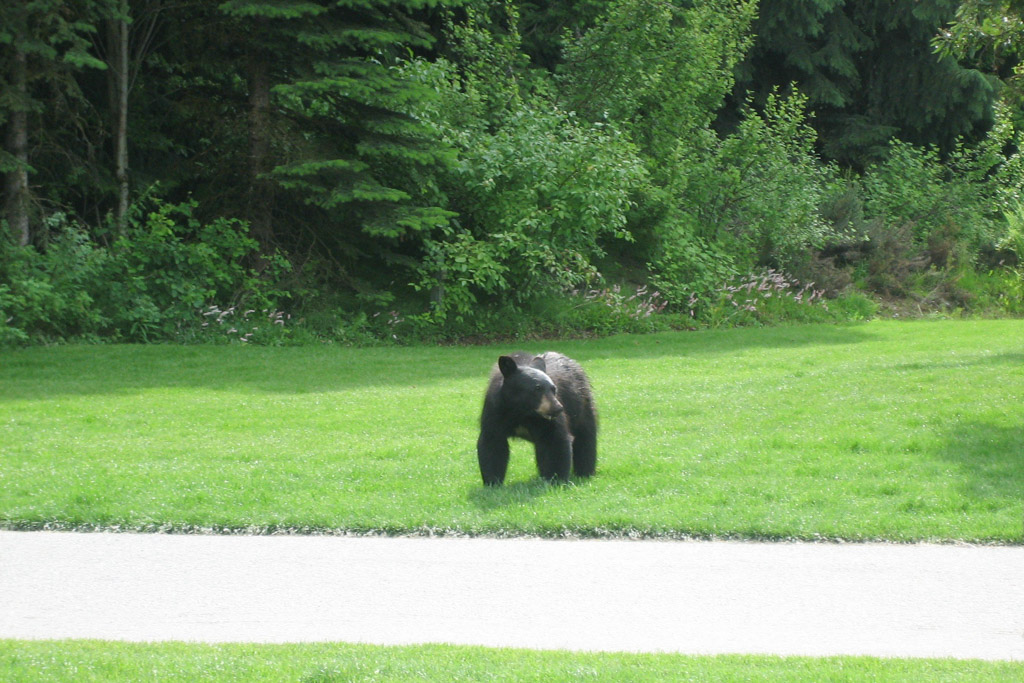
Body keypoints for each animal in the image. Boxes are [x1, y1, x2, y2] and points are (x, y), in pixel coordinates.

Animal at [475, 352, 598, 485]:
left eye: (554, 388)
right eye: (537, 388)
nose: (558, 408)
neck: (523, 412)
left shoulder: (548, 421)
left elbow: (555, 441)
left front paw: (556, 480)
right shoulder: (495, 411)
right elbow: (493, 443)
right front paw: (493, 482)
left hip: (582, 405)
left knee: (585, 436)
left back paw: (585, 473)